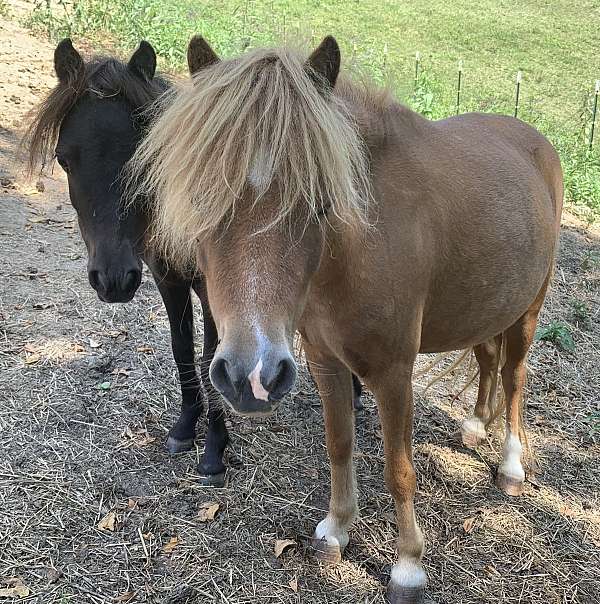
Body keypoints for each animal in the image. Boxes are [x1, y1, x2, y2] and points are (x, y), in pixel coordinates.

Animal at [25, 39, 364, 486]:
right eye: (64, 159)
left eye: (143, 159)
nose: (112, 280)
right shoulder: (168, 281)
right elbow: (182, 350)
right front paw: (186, 426)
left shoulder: (214, 293)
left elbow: (209, 360)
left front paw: (215, 448)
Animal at [127, 36, 564, 600]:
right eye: (205, 198)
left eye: (318, 203)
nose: (250, 376)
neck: (355, 254)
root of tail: (535, 140)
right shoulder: (324, 362)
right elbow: (339, 445)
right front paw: (336, 530)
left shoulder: (394, 373)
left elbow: (400, 469)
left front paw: (407, 566)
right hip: (486, 306)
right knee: (489, 360)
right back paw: (474, 424)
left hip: (528, 310)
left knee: (514, 376)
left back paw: (510, 464)